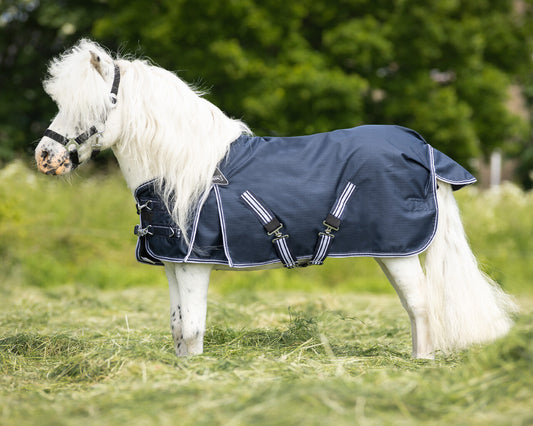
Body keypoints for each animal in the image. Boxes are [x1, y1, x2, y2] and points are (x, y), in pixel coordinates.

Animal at [34, 40, 516, 360]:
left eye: (94, 106)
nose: (45, 156)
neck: (182, 169)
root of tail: (424, 149)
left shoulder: (194, 265)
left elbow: (192, 330)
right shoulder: (174, 264)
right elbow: (178, 330)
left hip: (398, 251)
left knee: (421, 308)